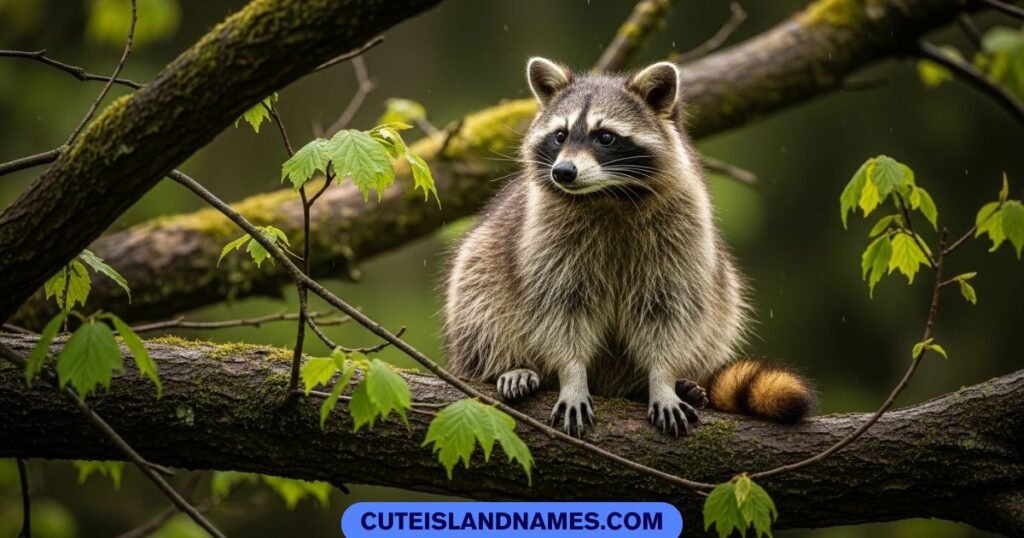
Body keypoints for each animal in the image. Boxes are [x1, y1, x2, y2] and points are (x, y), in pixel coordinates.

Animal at [443, 57, 815, 436]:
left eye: (605, 136)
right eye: (560, 135)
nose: (563, 172)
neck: (609, 195)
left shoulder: (682, 236)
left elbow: (669, 311)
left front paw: (662, 379)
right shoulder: (547, 242)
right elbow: (560, 310)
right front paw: (571, 375)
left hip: (718, 293)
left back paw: (653, 386)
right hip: (482, 268)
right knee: (480, 299)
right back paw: (508, 365)